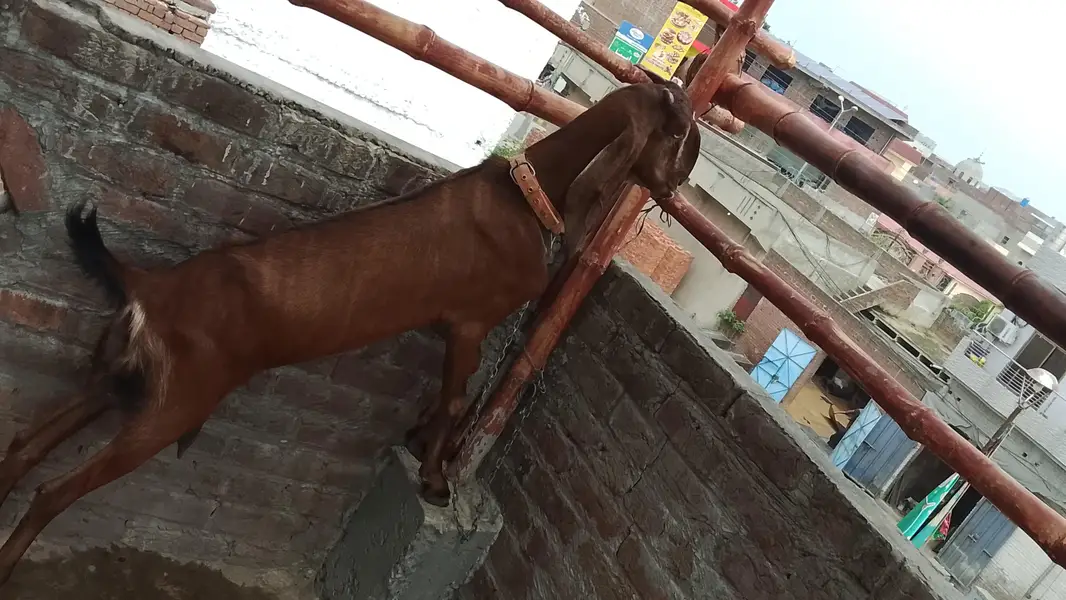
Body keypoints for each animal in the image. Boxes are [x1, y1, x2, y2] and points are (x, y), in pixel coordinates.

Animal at [0, 77, 700, 583]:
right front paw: (435, 481)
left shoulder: (450, 328)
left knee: (23, 449)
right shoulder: (471, 320)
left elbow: (440, 397)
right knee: (52, 492)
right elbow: (455, 400)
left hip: (117, 377)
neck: (527, 193)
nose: (675, 192)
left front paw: (417, 444)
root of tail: (148, 287)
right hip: (173, 405)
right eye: (678, 135)